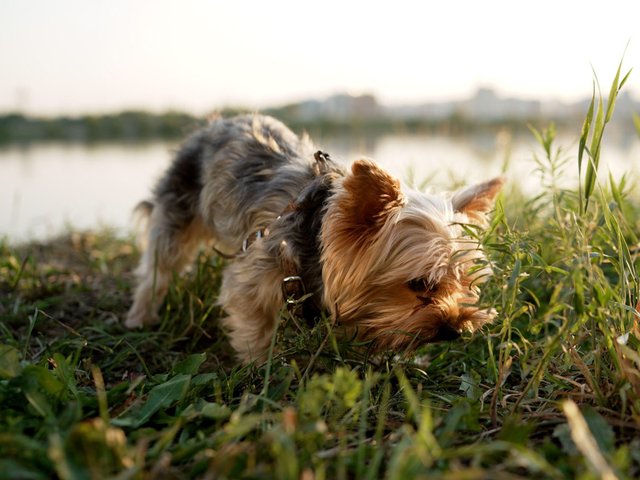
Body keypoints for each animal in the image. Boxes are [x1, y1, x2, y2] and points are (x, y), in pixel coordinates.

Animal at [126, 114, 504, 362]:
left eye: (468, 284)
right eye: (421, 284)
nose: (457, 330)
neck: (316, 229)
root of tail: (213, 123)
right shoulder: (253, 274)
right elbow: (254, 326)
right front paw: (260, 369)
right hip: (177, 210)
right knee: (158, 266)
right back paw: (141, 317)